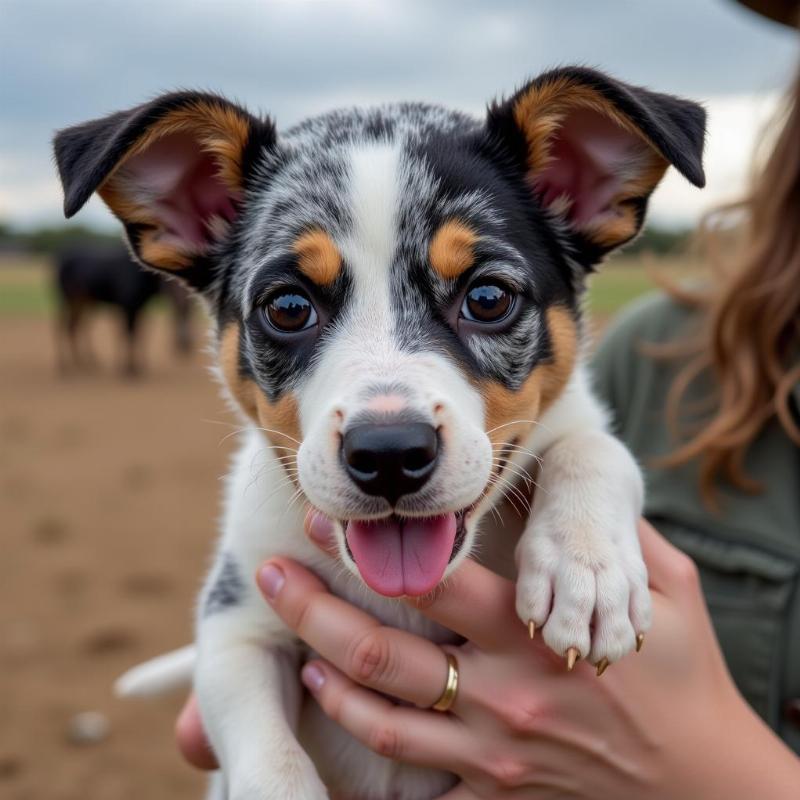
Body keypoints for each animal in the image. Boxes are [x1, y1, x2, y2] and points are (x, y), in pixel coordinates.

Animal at [54, 70, 708, 800]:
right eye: (288, 308)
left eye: (488, 298)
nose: (390, 454)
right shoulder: (237, 623)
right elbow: (271, 763)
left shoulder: (578, 419)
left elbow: (596, 446)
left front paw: (588, 570)